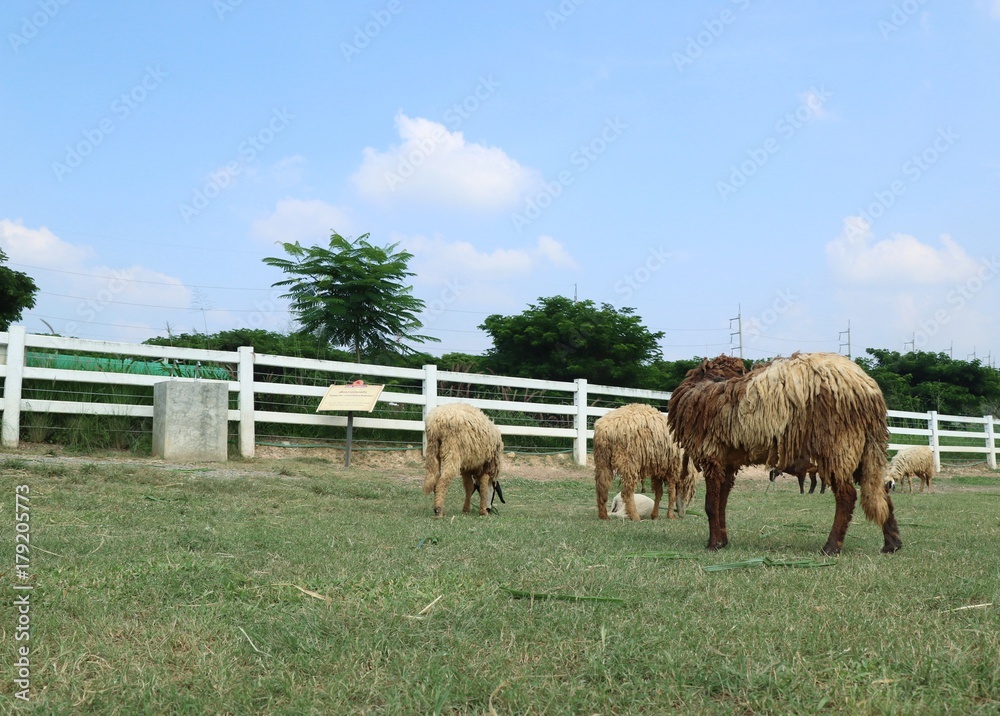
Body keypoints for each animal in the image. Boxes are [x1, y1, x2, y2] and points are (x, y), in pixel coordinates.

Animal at [667, 352, 902, 555]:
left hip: (838, 444)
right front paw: (722, 541)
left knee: (847, 496)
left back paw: (831, 547)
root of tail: (868, 390)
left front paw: (713, 544)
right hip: (863, 448)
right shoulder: (727, 460)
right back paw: (892, 544)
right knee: (879, 490)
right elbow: (722, 502)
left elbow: (710, 505)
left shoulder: (712, 454)